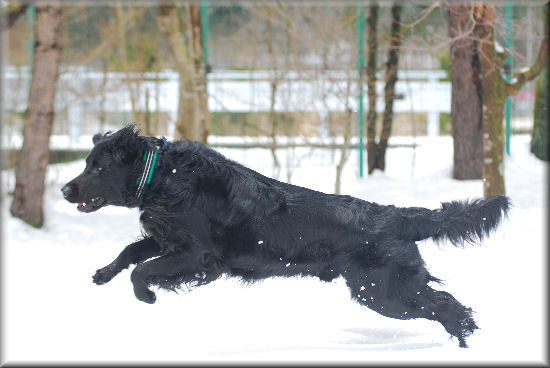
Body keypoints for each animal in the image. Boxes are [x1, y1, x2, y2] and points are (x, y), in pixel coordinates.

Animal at [62, 125, 512, 346]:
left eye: (98, 168)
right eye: (85, 164)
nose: (65, 189)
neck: (165, 174)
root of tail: (394, 215)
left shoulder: (198, 257)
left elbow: (144, 270)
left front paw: (147, 296)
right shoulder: (170, 239)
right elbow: (131, 251)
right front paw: (103, 274)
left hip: (383, 292)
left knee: (448, 305)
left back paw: (467, 343)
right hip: (384, 291)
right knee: (447, 304)